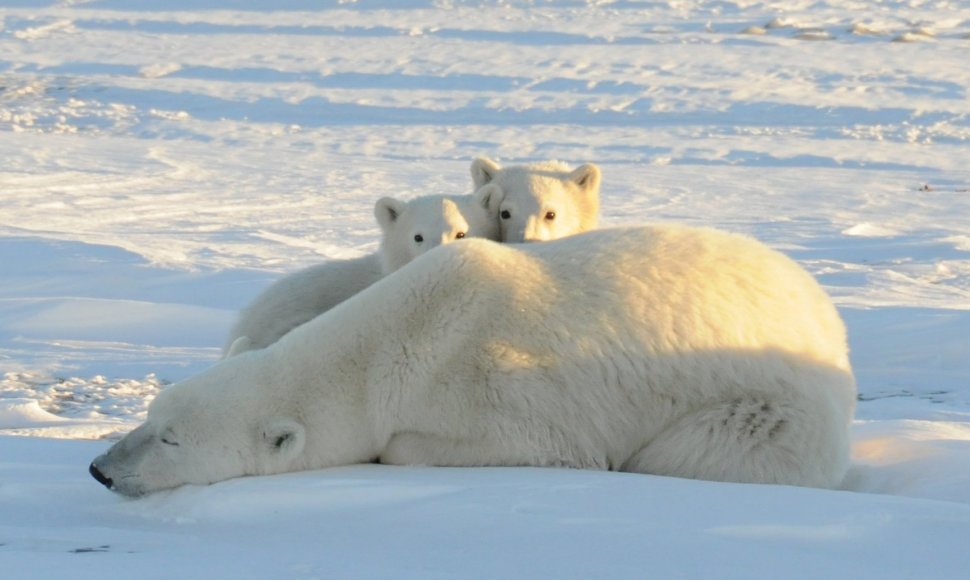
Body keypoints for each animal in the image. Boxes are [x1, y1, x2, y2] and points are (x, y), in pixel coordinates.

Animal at [87, 224, 852, 496]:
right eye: (151, 415)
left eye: (171, 439)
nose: (100, 468)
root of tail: (828, 317)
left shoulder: (501, 388)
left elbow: (530, 446)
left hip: (768, 406)